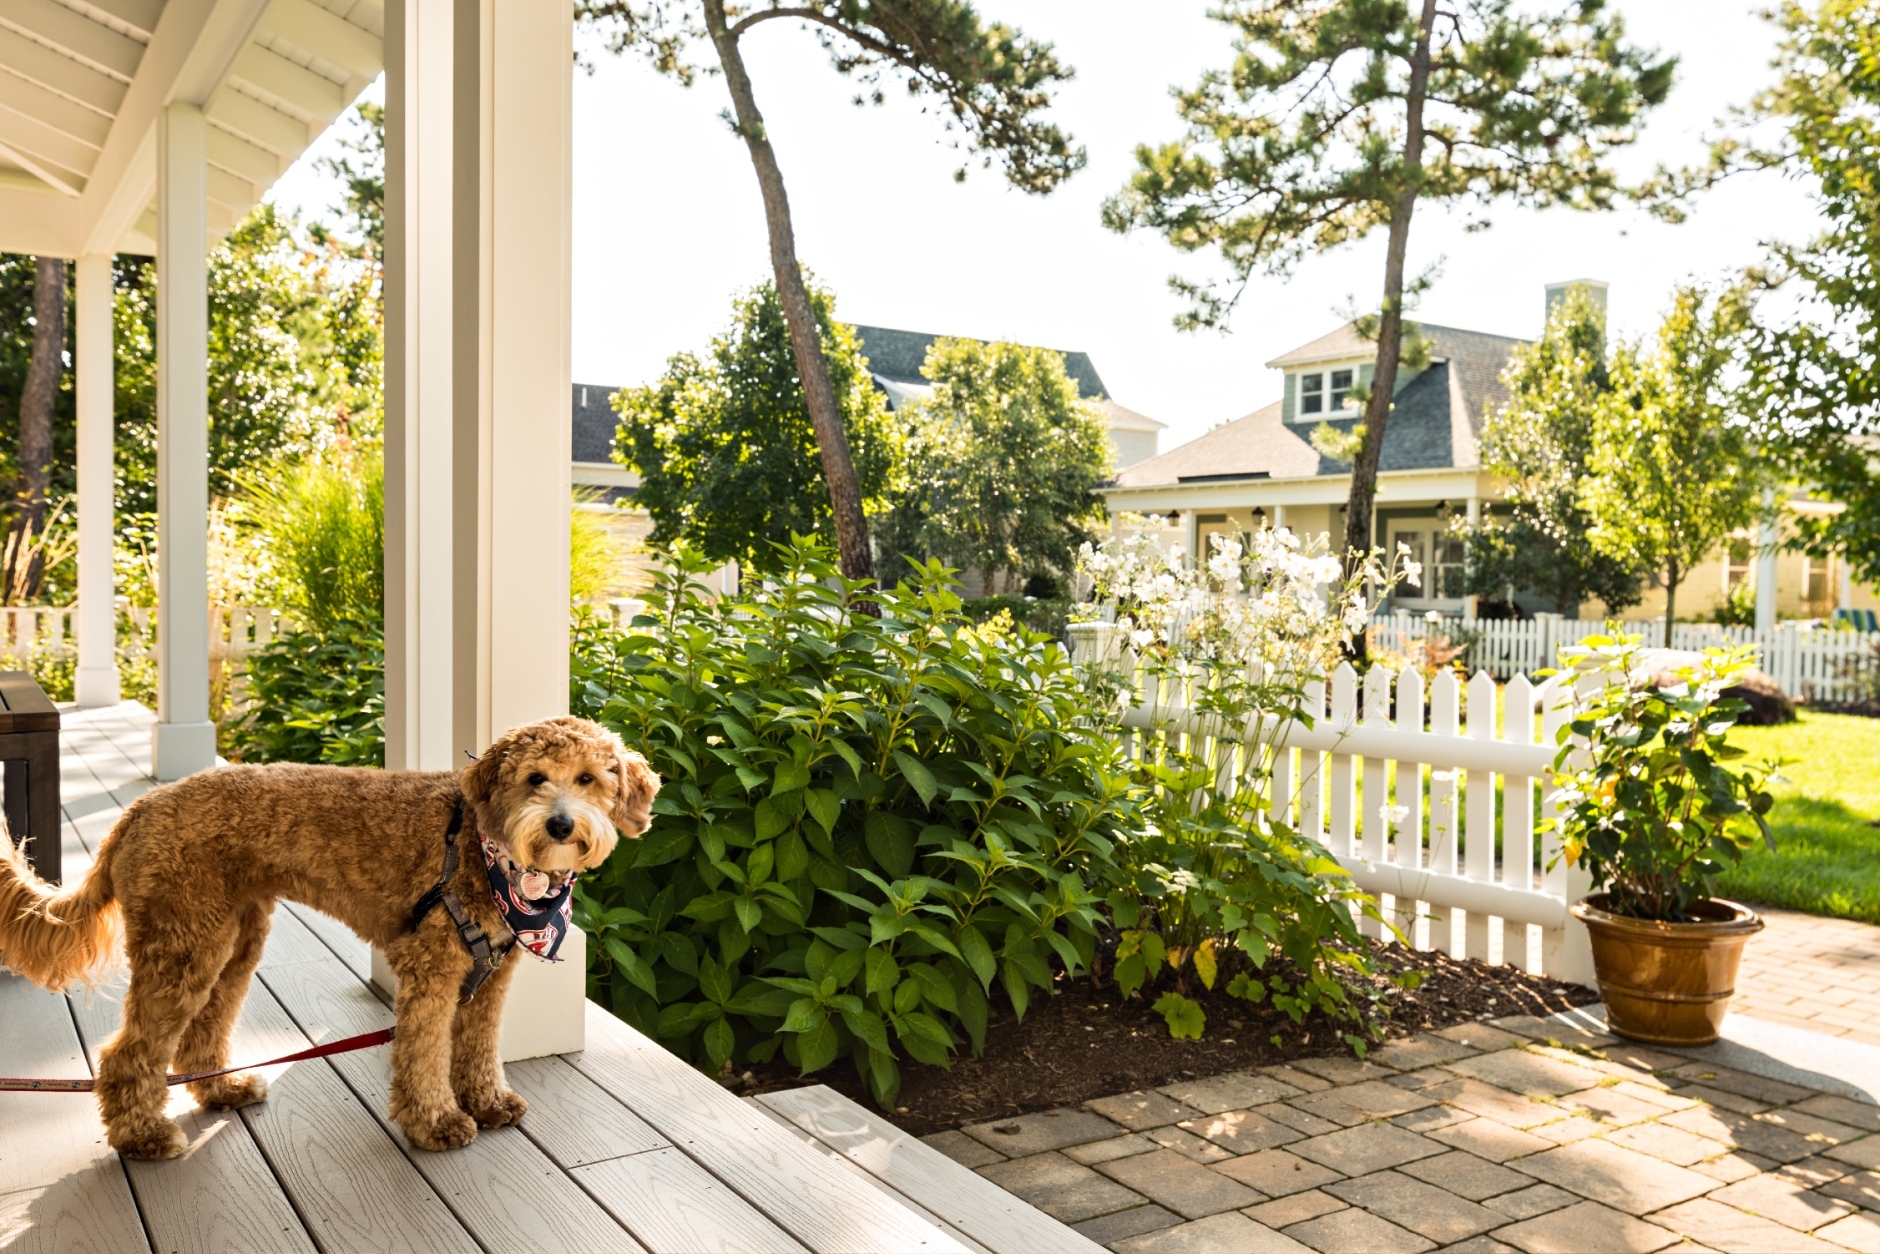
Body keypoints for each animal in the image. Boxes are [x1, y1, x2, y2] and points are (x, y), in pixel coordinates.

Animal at [0, 714, 661, 1158]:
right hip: (183, 945)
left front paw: (488, 1101)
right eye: (534, 778)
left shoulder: (490, 977)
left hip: (232, 941)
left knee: (199, 1037)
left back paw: (224, 1090)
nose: (561, 824)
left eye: (588, 778)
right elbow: (424, 1052)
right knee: (126, 1055)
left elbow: (477, 1046)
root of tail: (140, 809)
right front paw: (435, 1122)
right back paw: (142, 1137)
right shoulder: (431, 971)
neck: (486, 852)